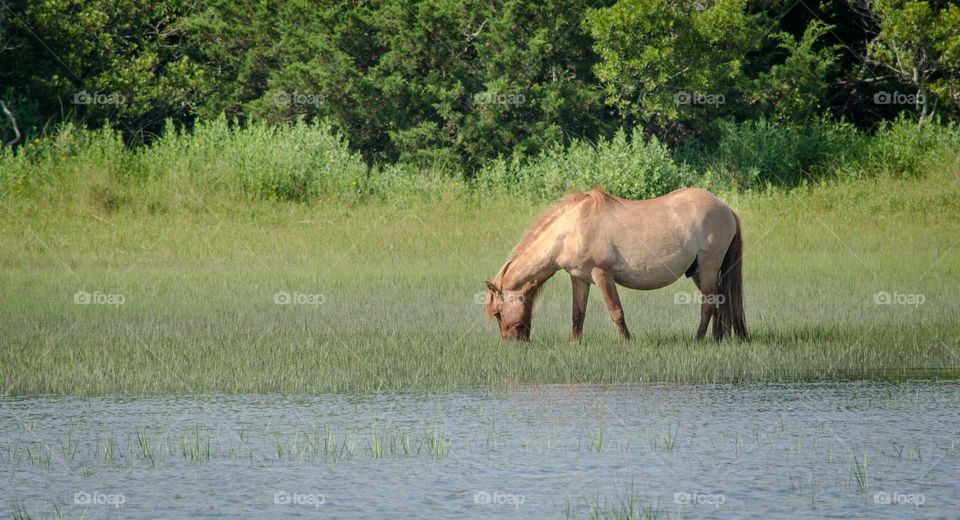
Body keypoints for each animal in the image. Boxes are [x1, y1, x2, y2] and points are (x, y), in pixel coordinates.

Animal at [484, 187, 748, 342]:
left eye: (497, 312)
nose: (513, 343)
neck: (573, 228)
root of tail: (727, 209)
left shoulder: (602, 275)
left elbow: (616, 312)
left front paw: (627, 343)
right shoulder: (579, 278)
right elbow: (577, 314)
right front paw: (575, 344)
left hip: (709, 267)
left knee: (708, 304)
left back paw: (700, 339)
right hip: (698, 272)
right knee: (718, 301)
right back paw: (718, 338)